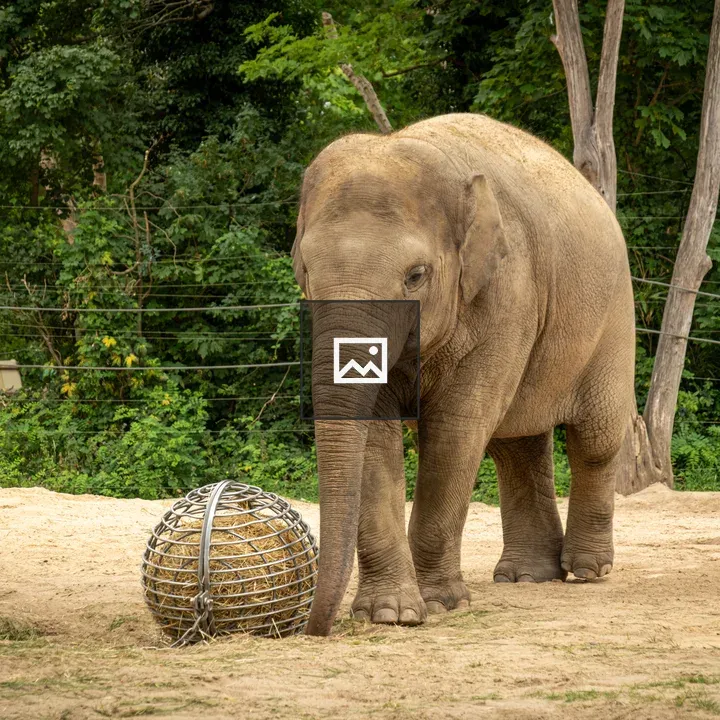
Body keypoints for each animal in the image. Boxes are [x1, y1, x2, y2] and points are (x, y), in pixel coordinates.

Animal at [292, 113, 635, 637]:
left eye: (416, 275)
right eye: (306, 271)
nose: (314, 627)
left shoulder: (507, 294)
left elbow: (456, 429)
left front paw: (438, 605)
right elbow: (377, 434)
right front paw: (389, 614)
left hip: (613, 317)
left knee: (594, 439)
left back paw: (588, 570)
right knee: (516, 446)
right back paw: (526, 577)